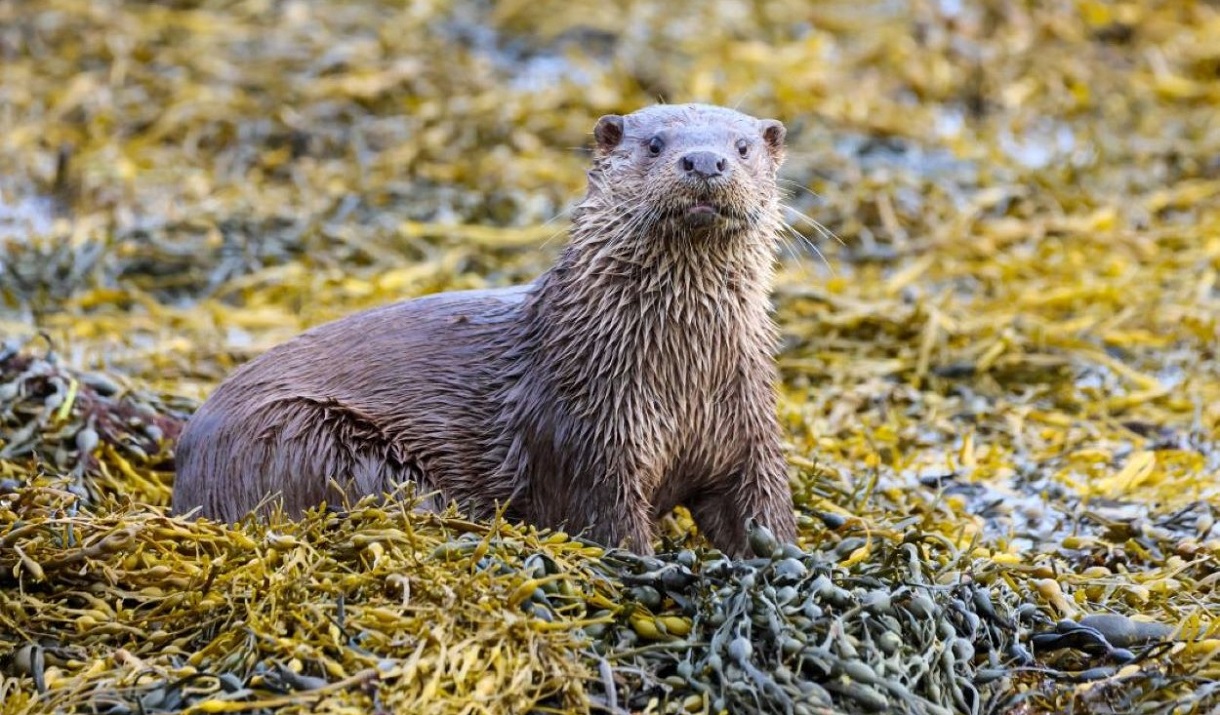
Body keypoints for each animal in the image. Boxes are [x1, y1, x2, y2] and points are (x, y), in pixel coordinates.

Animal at [173, 103, 798, 557]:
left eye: (742, 147)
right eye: (655, 145)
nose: (704, 162)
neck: (680, 373)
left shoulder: (751, 426)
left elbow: (764, 510)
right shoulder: (583, 438)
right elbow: (606, 527)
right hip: (302, 438)